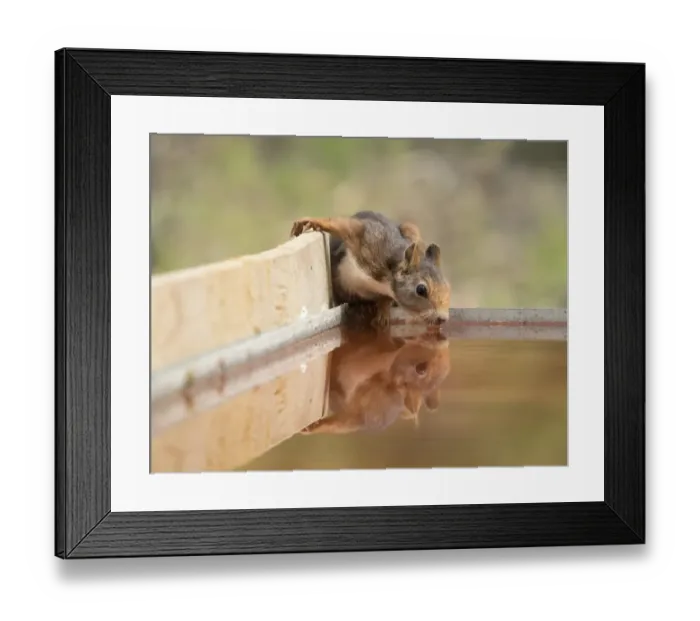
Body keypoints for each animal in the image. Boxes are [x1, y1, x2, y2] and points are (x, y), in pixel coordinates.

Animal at [289, 210, 451, 328]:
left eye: (448, 286)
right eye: (421, 290)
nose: (443, 318)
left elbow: (386, 299)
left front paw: (383, 310)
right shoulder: (367, 236)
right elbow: (346, 226)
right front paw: (313, 221)